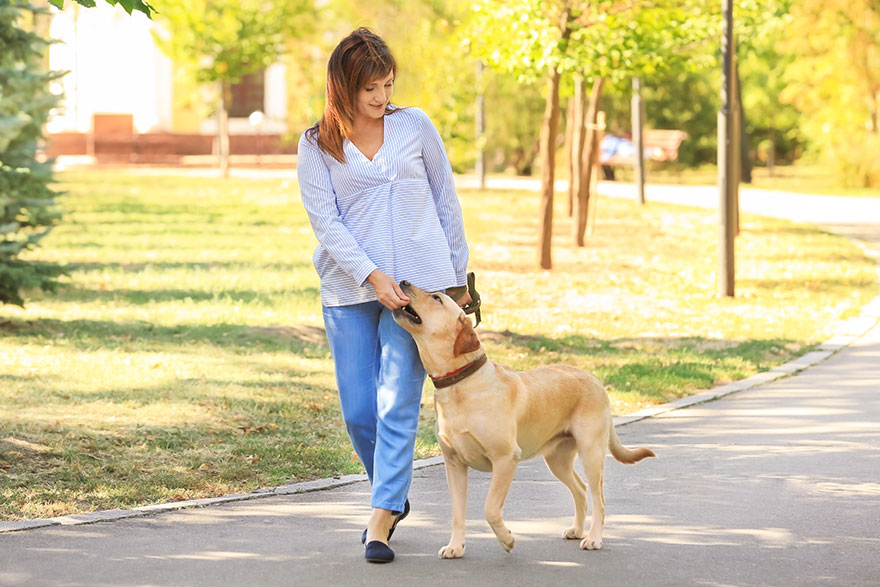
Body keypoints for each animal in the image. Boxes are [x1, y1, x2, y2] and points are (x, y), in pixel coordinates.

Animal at [392, 282, 652, 560]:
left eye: (437, 299)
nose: (404, 282)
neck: (460, 383)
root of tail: (596, 380)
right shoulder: (454, 465)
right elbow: (457, 513)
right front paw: (456, 546)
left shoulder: (505, 458)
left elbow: (490, 508)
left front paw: (506, 539)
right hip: (557, 460)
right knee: (580, 489)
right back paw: (577, 530)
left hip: (591, 452)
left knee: (598, 498)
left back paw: (593, 538)